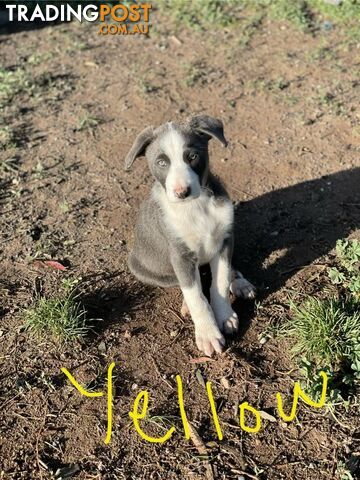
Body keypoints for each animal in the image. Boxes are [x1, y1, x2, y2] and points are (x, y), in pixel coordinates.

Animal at [125, 115, 255, 356]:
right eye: (161, 163)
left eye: (192, 156)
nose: (181, 192)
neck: (196, 206)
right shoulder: (180, 255)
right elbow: (196, 296)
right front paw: (208, 334)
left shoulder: (224, 241)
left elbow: (220, 281)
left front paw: (225, 315)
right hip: (141, 267)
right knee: (183, 284)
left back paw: (240, 283)